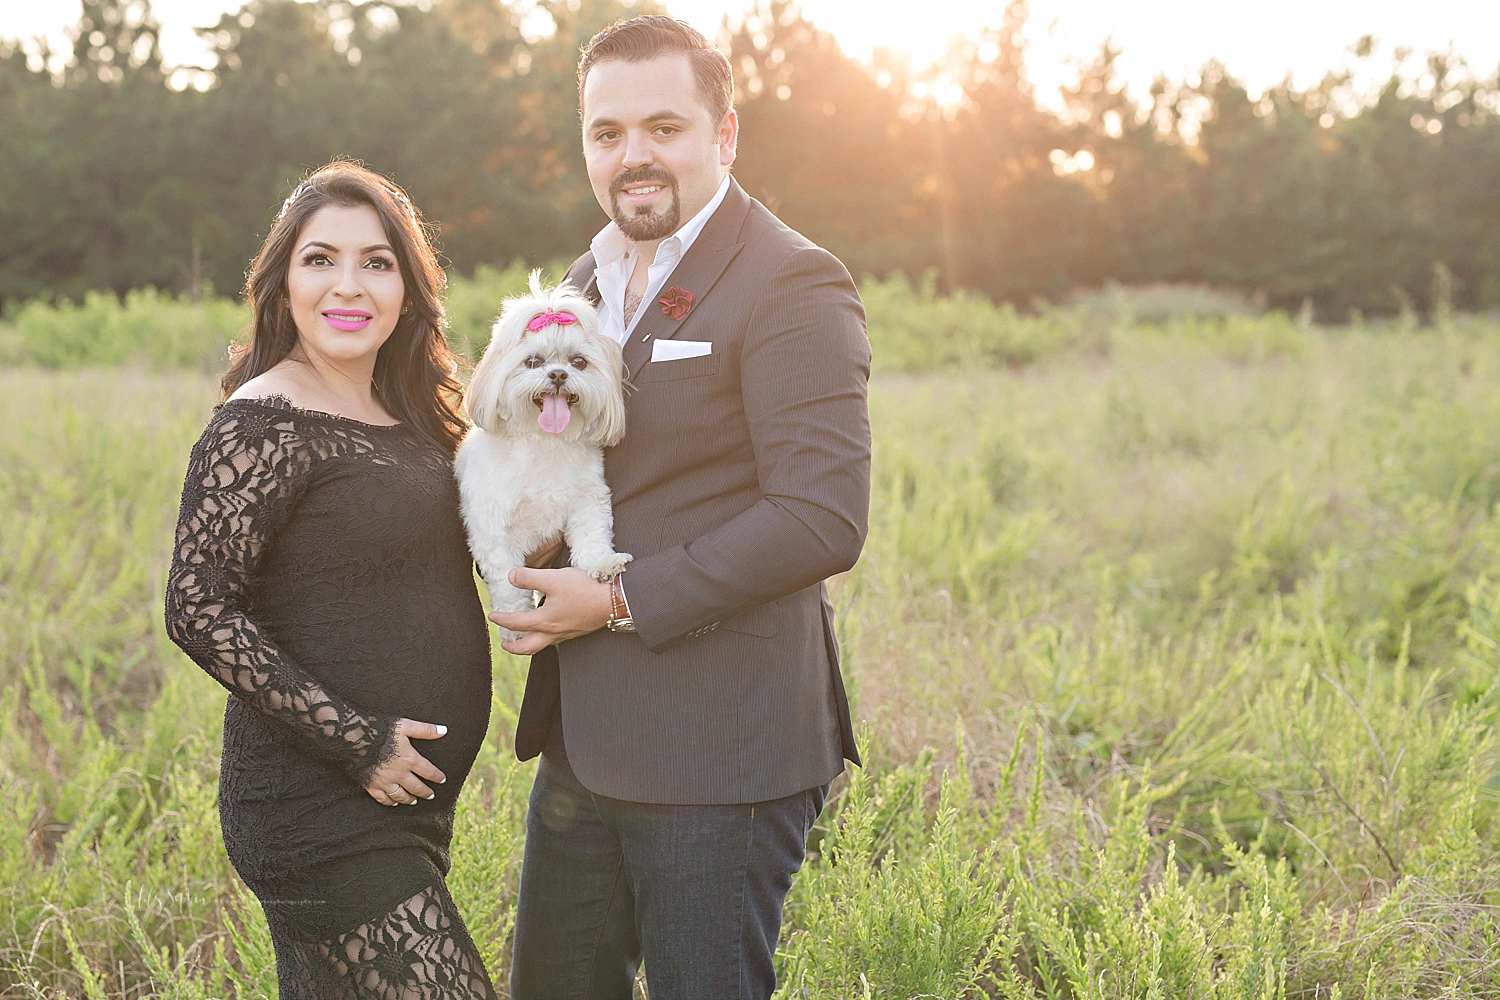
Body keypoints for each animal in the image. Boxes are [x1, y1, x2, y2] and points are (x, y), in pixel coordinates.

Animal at [450, 269, 627, 638]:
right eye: (533, 362)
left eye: (579, 362)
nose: (558, 373)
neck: (544, 441)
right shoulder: (492, 529)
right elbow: (506, 580)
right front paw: (516, 622)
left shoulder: (588, 499)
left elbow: (592, 536)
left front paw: (602, 563)